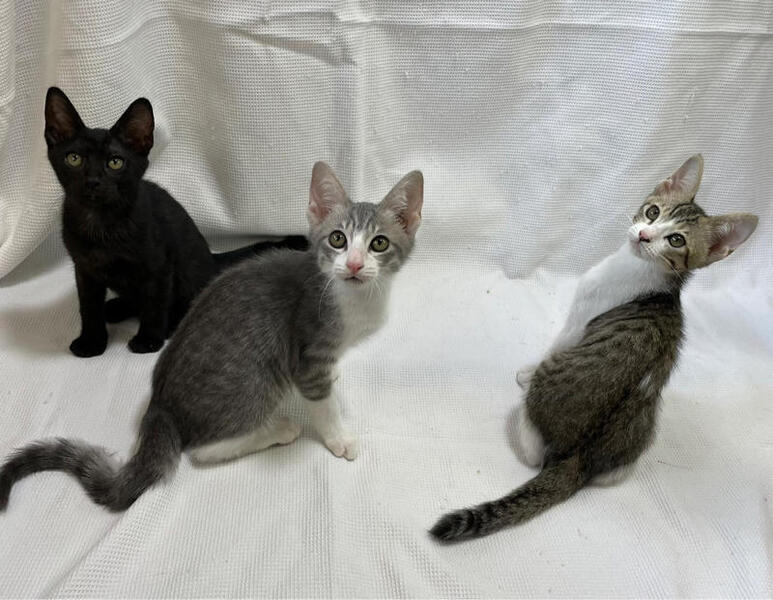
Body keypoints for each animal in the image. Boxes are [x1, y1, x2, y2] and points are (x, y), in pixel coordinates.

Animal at [0, 161, 423, 511]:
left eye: (379, 243)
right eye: (338, 239)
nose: (354, 265)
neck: (354, 298)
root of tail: (160, 405)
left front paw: (336, 380)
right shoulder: (308, 354)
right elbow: (322, 403)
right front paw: (339, 437)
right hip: (257, 378)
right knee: (201, 451)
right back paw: (277, 430)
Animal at [43, 87, 307, 357]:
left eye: (115, 162)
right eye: (74, 159)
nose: (93, 182)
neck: (100, 223)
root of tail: (211, 259)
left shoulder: (159, 267)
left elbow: (155, 304)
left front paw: (149, 339)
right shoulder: (85, 269)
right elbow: (88, 308)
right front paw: (92, 342)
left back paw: (169, 324)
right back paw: (115, 307)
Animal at [431, 154, 758, 541]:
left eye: (676, 240)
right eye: (653, 212)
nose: (644, 235)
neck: (642, 270)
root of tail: (579, 458)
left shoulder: (580, 316)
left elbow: (557, 342)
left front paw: (525, 371)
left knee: (532, 453)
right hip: (647, 425)